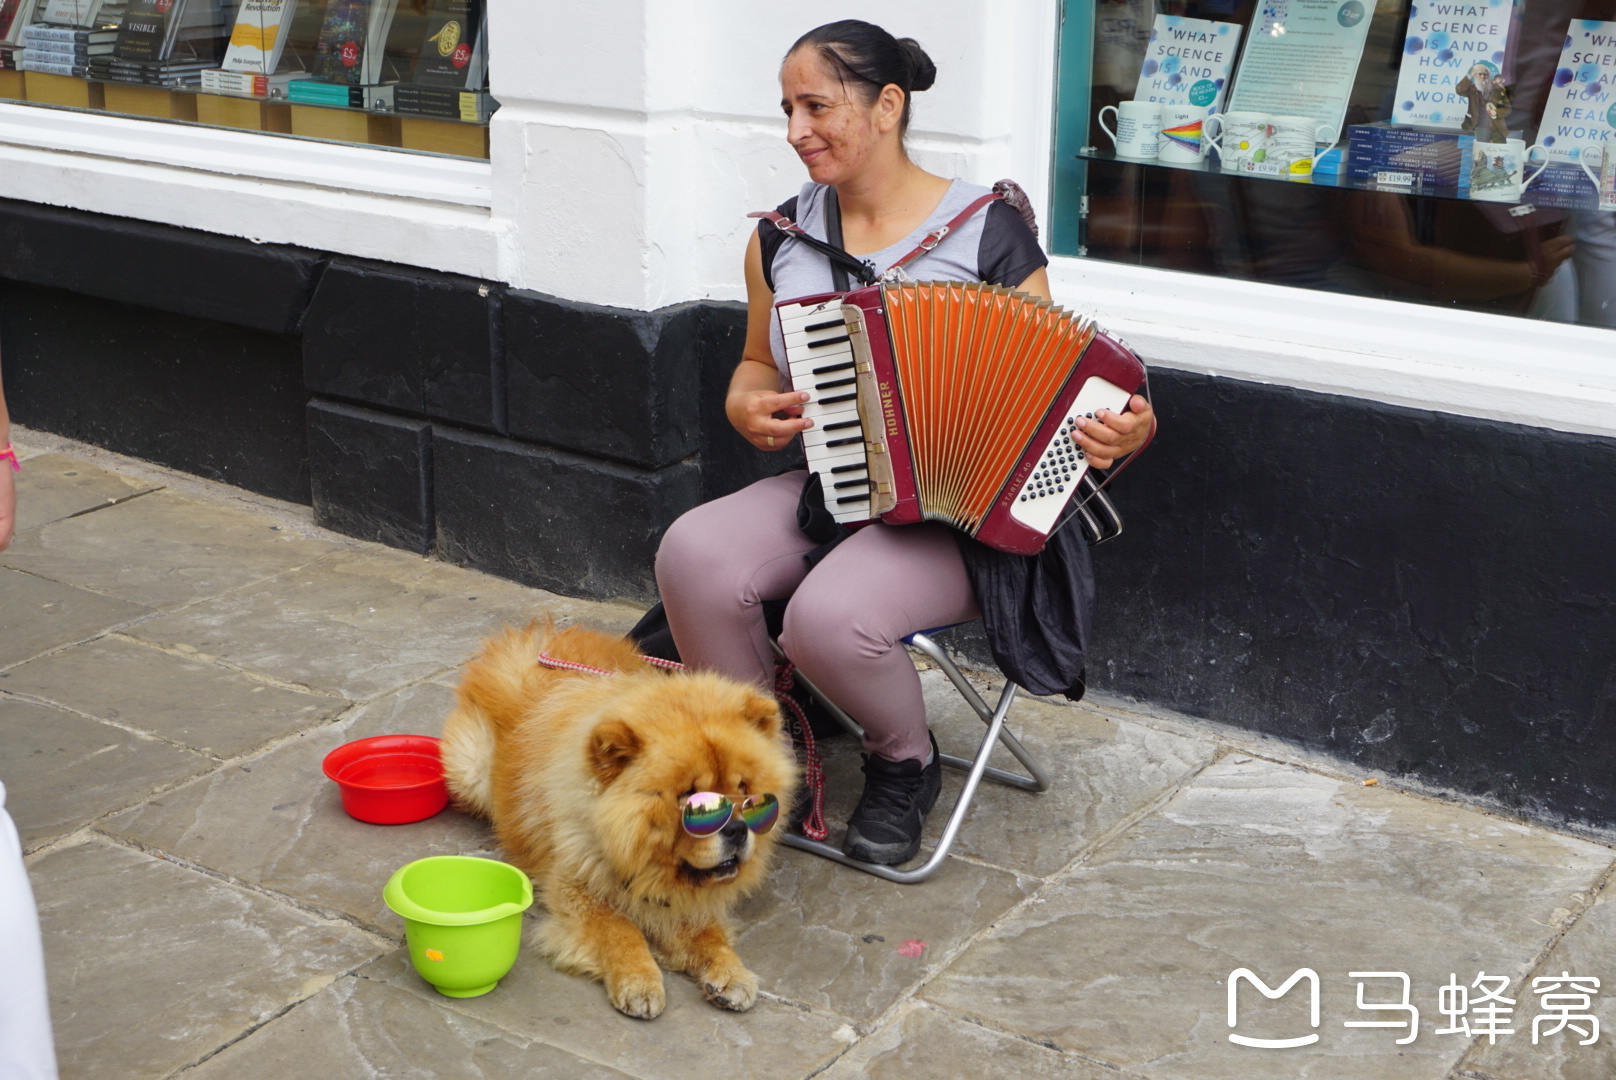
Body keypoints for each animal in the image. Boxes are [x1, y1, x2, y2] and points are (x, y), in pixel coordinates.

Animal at [439, 620, 798, 1015]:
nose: (737, 830)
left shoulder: (688, 903)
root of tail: (538, 633)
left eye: (746, 790)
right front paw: (639, 981)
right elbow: (621, 929)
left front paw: (731, 973)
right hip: (469, 769)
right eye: (692, 801)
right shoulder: (577, 885)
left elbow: (709, 935)